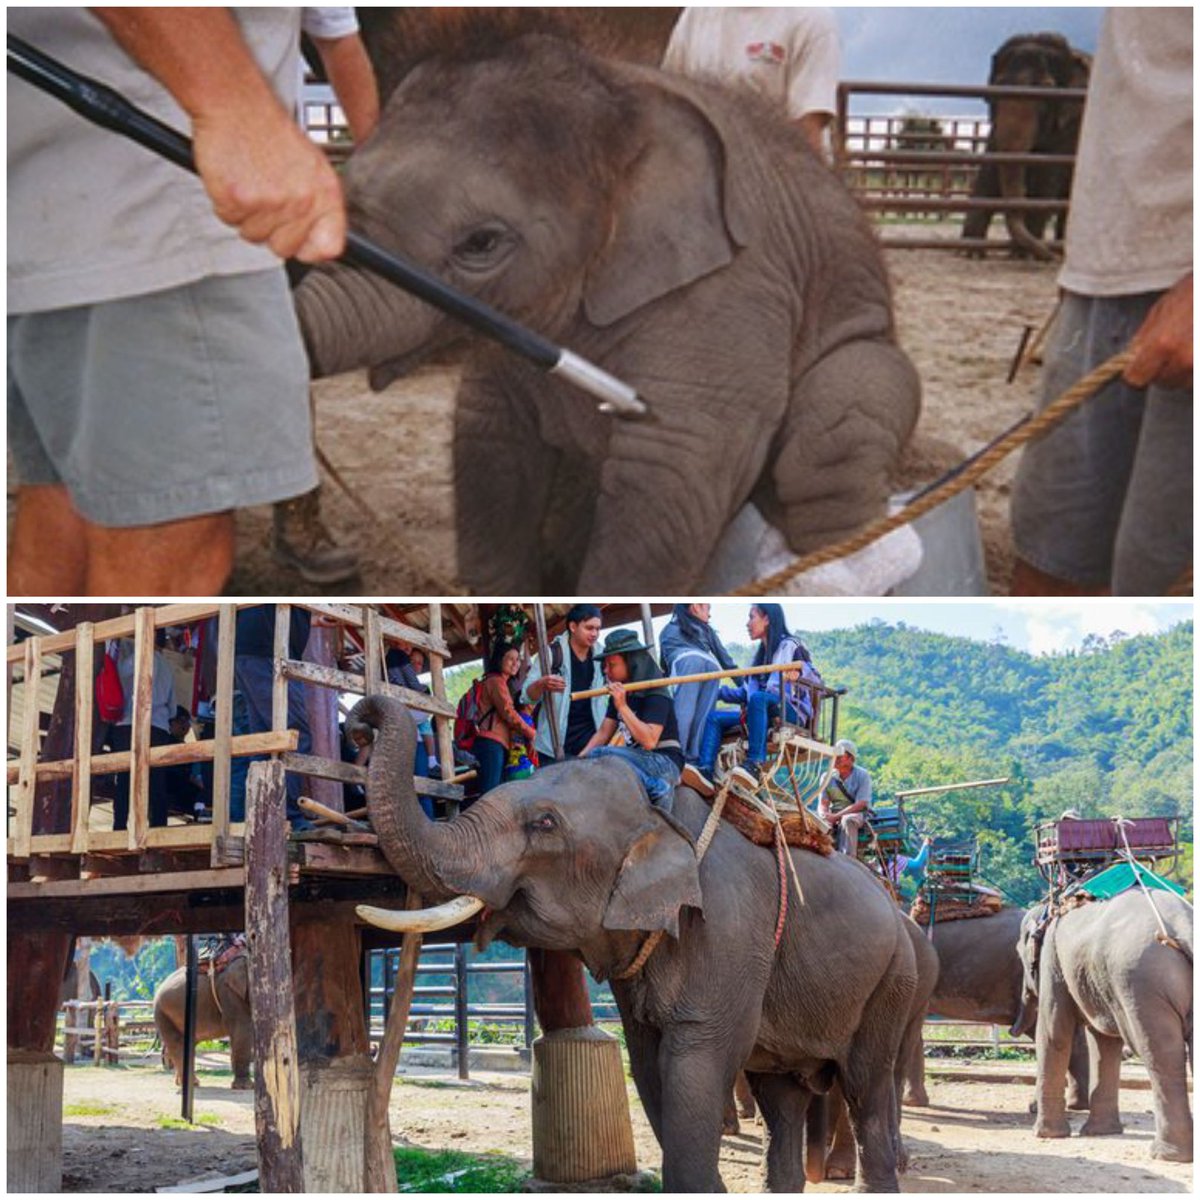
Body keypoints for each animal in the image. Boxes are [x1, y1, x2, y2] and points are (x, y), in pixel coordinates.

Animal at [153, 955, 253, 1090]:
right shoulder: (229, 993)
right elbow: (242, 1030)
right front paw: (246, 1087)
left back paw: (180, 1082)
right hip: (163, 1013)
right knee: (177, 1044)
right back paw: (193, 1084)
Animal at [295, 18, 921, 594]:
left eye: (481, 243)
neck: (621, 96)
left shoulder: (731, 290)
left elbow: (673, 472)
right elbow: (486, 443)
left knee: (832, 442)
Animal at [351, 694, 919, 1191]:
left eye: (545, 823)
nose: (360, 720)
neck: (661, 812)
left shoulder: (728, 930)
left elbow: (695, 1062)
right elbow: (648, 1067)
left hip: (891, 981)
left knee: (865, 1085)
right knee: (782, 1096)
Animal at [961, 33, 1090, 260]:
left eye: (1047, 90)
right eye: (997, 87)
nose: (1050, 257)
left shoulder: (1072, 125)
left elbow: (1046, 181)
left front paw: (1022, 256)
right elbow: (988, 174)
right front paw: (969, 253)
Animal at [1016, 892, 1193, 1162]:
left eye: (1019, 955)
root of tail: (1184, 925)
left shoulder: (1052, 961)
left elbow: (1053, 1030)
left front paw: (1044, 1134)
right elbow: (1103, 1041)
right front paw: (1100, 1132)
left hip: (1141, 985)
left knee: (1161, 1052)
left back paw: (1165, 1154)